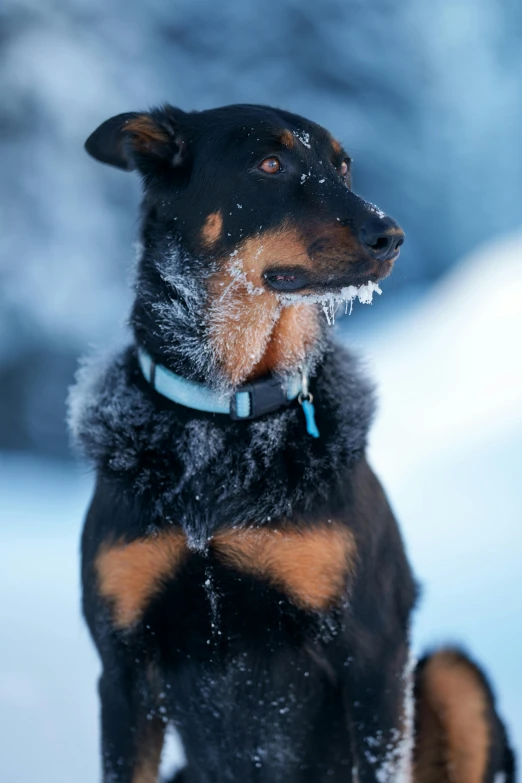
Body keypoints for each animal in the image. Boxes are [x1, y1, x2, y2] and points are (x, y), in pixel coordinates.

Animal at [70, 105, 512, 783]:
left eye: (343, 166)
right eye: (270, 163)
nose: (391, 236)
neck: (225, 417)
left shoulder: (373, 651)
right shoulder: (122, 670)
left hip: (448, 675)